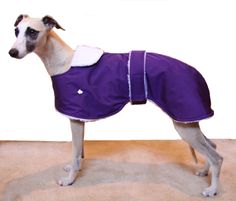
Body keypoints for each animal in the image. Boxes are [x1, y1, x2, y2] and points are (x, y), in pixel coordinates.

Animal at [8, 14, 223, 197]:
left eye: (32, 31)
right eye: (16, 31)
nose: (12, 52)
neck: (64, 61)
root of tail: (197, 74)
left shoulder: (75, 119)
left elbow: (75, 152)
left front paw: (69, 180)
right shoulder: (79, 117)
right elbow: (78, 153)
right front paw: (73, 168)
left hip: (183, 122)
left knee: (217, 157)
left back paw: (212, 190)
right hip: (189, 121)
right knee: (211, 146)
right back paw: (205, 172)